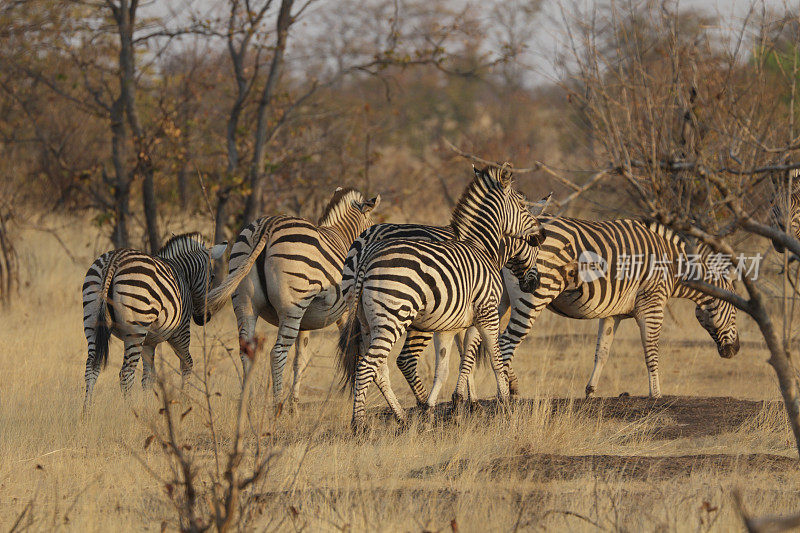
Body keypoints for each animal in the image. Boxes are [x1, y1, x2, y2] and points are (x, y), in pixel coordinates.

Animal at [81, 231, 270, 410]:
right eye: (212, 277)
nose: (204, 318)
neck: (184, 273)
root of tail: (114, 260)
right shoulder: (181, 331)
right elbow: (187, 363)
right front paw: (184, 402)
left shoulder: (149, 341)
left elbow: (148, 377)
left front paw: (147, 405)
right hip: (136, 330)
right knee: (126, 373)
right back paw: (129, 412)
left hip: (92, 320)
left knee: (92, 367)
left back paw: (87, 413)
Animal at [228, 186, 382, 404]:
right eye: (371, 229)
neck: (344, 237)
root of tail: (268, 226)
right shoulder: (346, 312)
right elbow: (352, 349)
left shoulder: (307, 321)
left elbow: (300, 359)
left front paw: (295, 405)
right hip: (292, 307)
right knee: (277, 354)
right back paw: (277, 407)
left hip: (245, 303)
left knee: (246, 351)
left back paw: (246, 405)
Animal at [334, 163, 548, 432]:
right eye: (522, 206)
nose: (542, 235)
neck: (481, 247)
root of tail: (367, 254)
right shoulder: (487, 313)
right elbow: (493, 360)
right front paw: (503, 407)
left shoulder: (449, 325)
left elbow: (447, 366)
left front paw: (442, 407)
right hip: (395, 318)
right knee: (372, 365)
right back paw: (359, 426)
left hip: (365, 321)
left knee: (377, 368)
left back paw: (403, 417)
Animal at [438, 214, 744, 402]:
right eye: (736, 310)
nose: (735, 350)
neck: (672, 262)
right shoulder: (652, 302)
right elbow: (651, 350)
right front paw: (656, 393)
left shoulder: (612, 312)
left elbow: (602, 352)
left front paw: (590, 391)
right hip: (532, 296)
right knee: (504, 345)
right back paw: (510, 392)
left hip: (493, 296)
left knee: (474, 341)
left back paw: (461, 396)